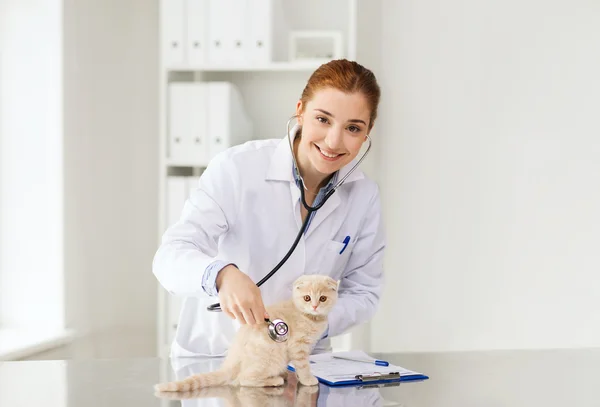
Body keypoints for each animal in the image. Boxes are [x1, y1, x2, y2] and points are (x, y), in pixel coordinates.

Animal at [154, 274, 338, 392]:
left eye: (323, 299)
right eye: (307, 298)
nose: (315, 306)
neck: (308, 316)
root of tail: (231, 361)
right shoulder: (298, 346)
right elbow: (303, 365)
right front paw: (308, 379)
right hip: (271, 360)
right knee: (243, 379)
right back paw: (275, 380)